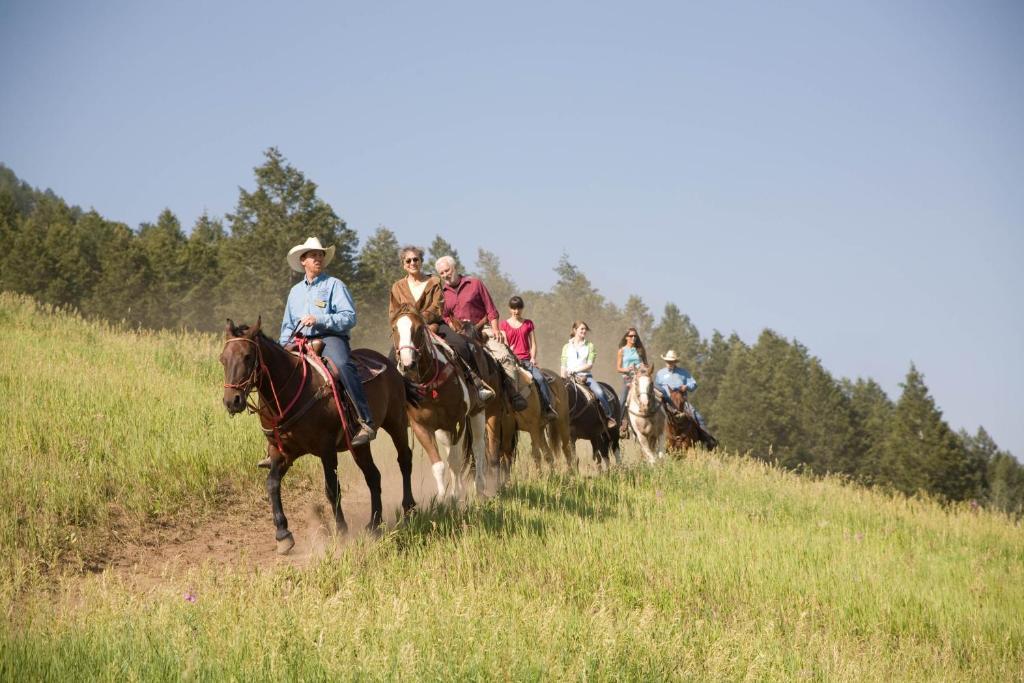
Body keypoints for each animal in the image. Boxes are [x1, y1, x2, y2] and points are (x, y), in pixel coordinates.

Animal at [221, 321, 415, 557]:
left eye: (248, 356)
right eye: (223, 358)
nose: (232, 401)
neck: (292, 390)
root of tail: (386, 361)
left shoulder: (326, 449)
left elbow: (332, 489)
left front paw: (341, 531)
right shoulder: (281, 452)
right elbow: (272, 484)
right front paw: (283, 535)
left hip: (396, 422)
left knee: (404, 459)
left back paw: (408, 508)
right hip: (359, 446)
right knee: (373, 476)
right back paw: (374, 524)